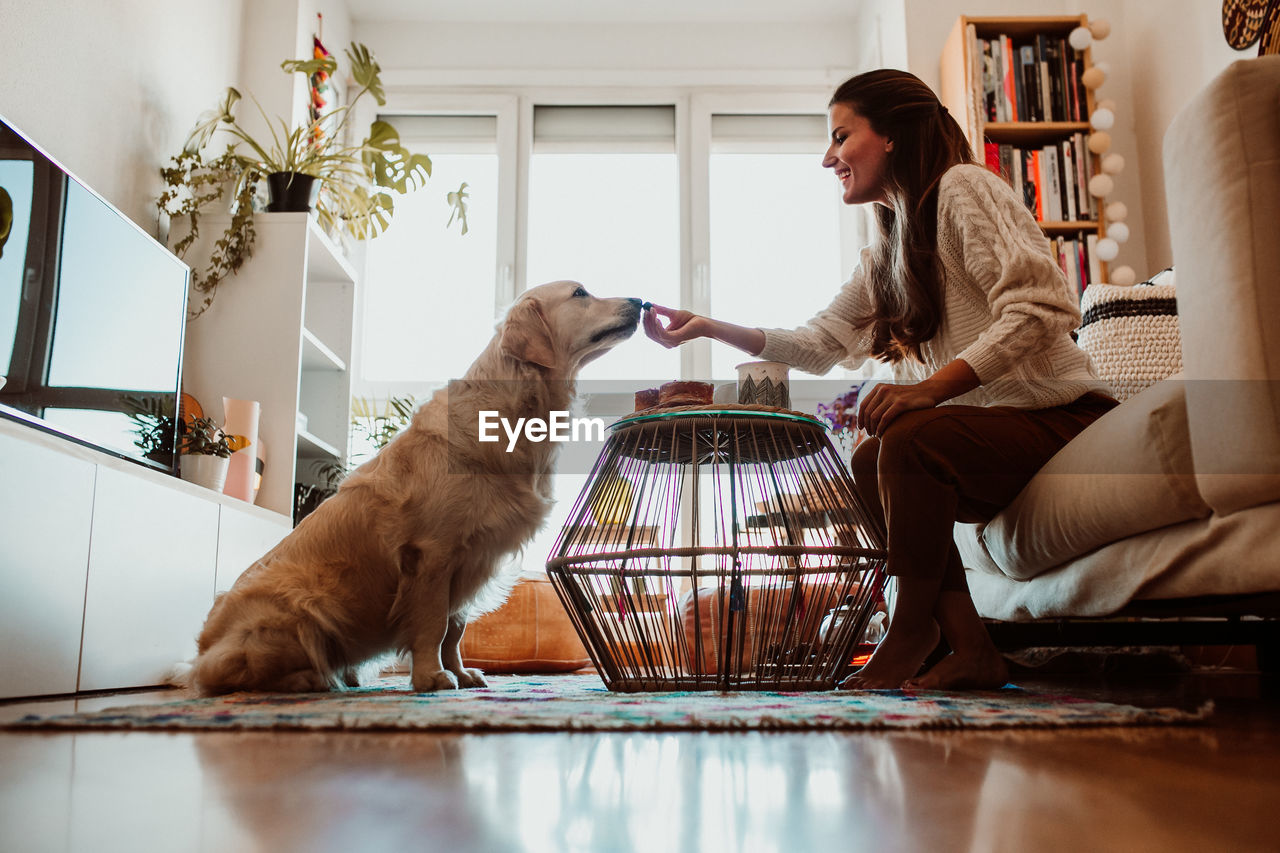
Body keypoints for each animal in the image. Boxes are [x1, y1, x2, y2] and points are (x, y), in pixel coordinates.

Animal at [185, 281, 640, 696]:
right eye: (580, 293)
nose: (640, 300)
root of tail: (202, 651)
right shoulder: (433, 553)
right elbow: (434, 624)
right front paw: (430, 678)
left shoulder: (472, 556)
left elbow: (455, 628)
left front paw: (460, 673)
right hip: (306, 607)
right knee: (233, 676)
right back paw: (314, 679)